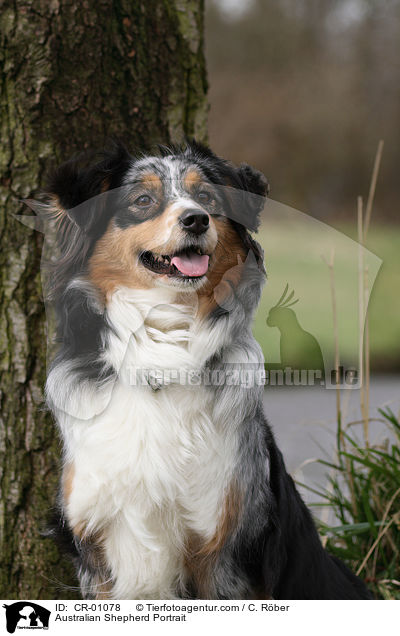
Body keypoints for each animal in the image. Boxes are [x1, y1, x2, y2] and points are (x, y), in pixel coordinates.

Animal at [42, 140, 370, 600]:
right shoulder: (96, 547)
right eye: (142, 200)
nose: (196, 219)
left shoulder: (221, 549)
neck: (164, 348)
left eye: (207, 198)